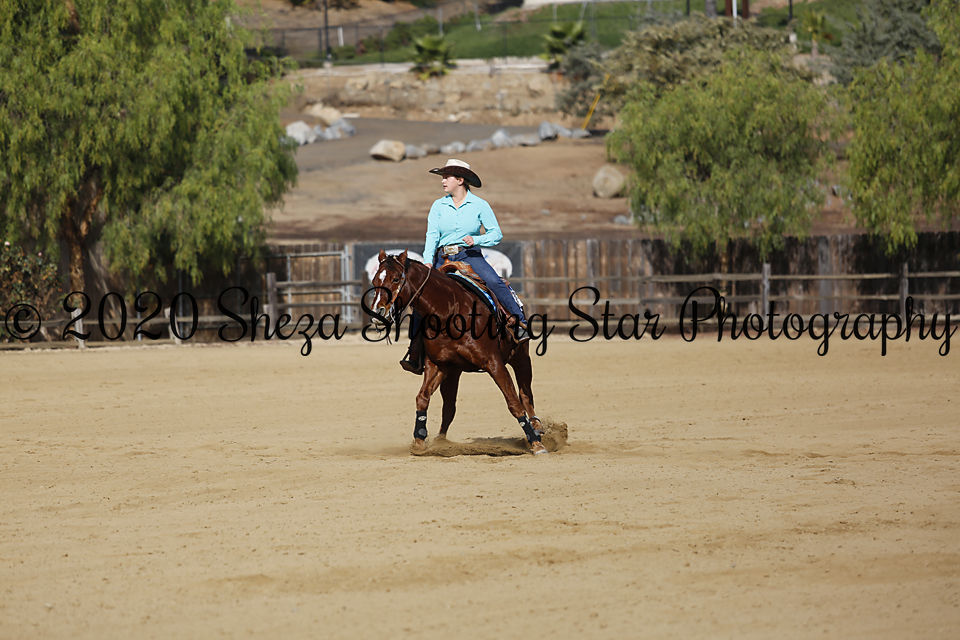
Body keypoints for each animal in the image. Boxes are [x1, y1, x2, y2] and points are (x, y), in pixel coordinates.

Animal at [368, 250, 547, 455]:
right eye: (374, 280)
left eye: (396, 279)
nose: (377, 313)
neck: (450, 312)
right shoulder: (437, 364)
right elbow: (422, 398)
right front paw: (419, 440)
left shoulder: (493, 362)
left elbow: (513, 402)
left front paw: (536, 442)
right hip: (454, 372)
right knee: (449, 407)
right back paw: (440, 440)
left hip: (521, 357)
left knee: (525, 393)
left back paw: (537, 427)